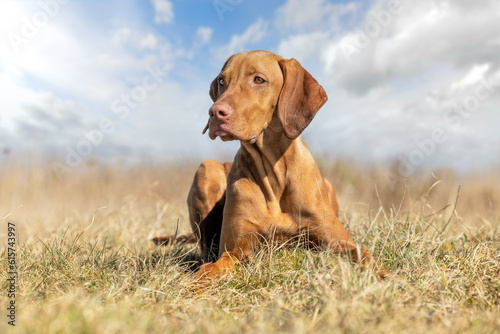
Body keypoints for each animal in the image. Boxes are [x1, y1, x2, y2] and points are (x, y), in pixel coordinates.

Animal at [152, 49, 390, 280]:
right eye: (222, 81)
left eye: (259, 79)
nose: (215, 112)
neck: (274, 174)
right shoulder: (236, 250)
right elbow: (211, 269)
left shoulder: (338, 240)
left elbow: (365, 257)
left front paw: (384, 276)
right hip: (207, 168)